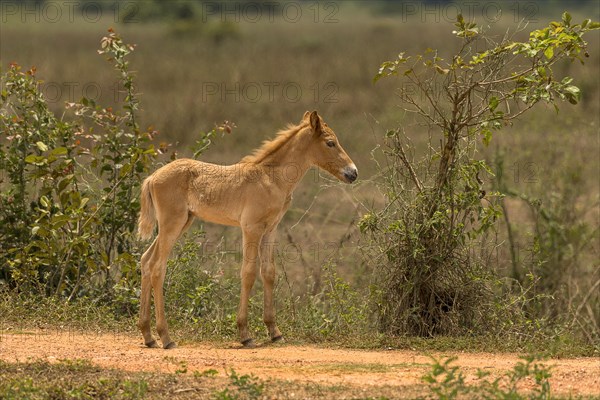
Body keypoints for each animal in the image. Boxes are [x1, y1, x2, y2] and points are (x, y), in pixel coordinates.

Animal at [137, 111, 356, 348]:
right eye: (330, 142)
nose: (353, 173)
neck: (271, 179)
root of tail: (152, 178)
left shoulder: (270, 229)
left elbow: (268, 272)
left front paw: (274, 331)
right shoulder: (251, 228)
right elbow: (248, 273)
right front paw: (245, 334)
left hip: (180, 223)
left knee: (146, 260)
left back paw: (148, 335)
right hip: (172, 224)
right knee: (158, 267)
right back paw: (166, 337)